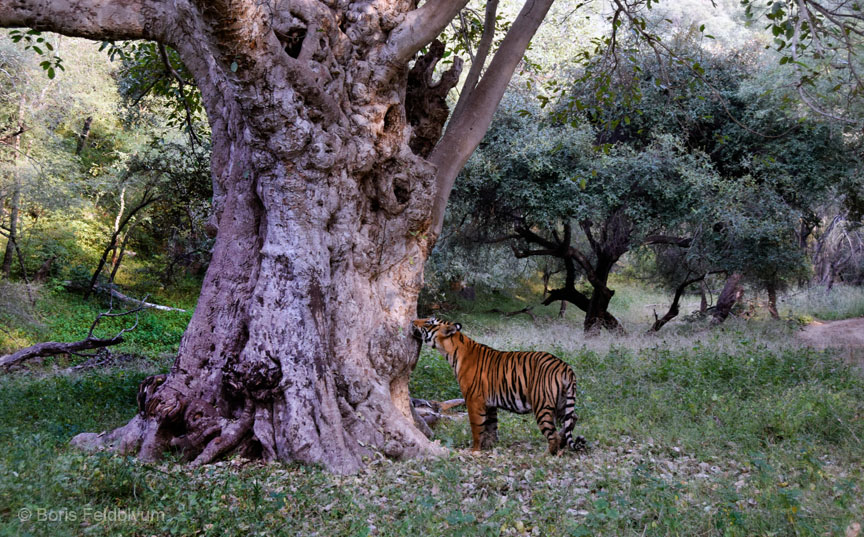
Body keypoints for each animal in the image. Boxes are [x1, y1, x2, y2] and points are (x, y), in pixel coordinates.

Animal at [412, 316, 588, 454]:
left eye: (429, 322)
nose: (413, 321)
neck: (451, 351)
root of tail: (565, 366)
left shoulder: (474, 400)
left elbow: (476, 427)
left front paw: (474, 450)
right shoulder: (489, 403)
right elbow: (491, 427)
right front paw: (489, 446)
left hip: (542, 405)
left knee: (552, 434)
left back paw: (547, 454)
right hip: (562, 402)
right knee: (572, 418)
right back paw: (563, 443)